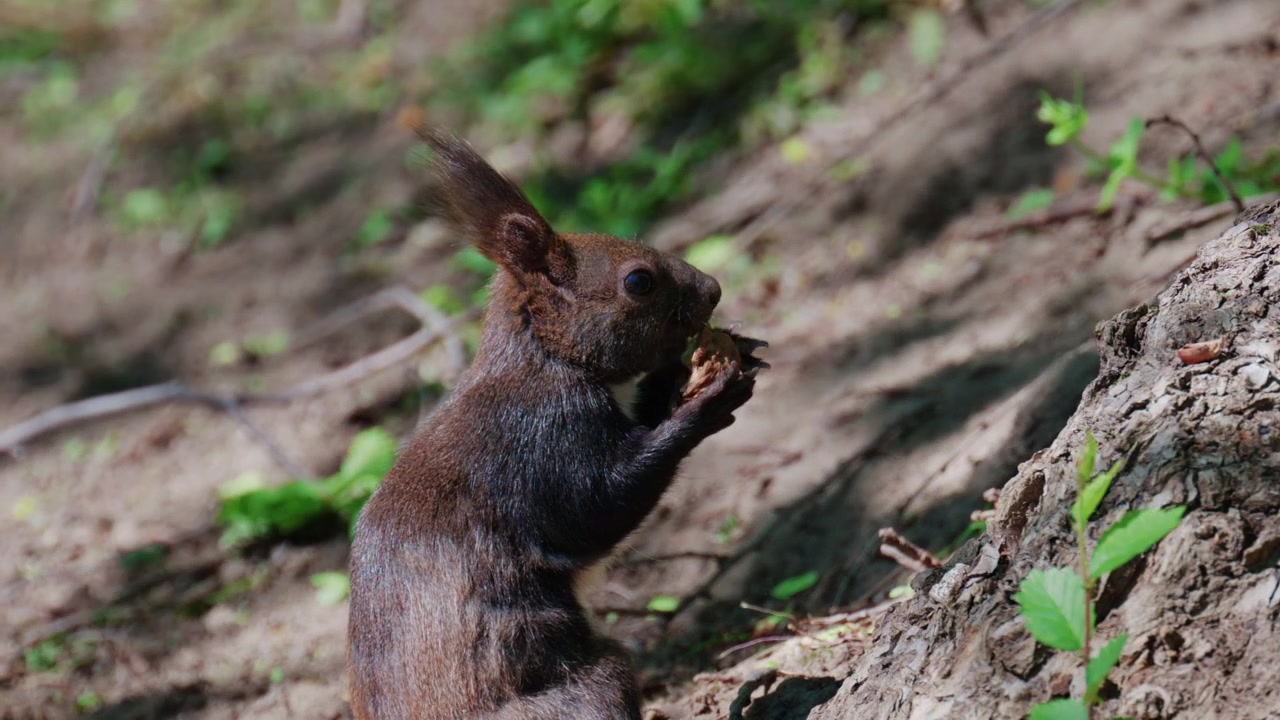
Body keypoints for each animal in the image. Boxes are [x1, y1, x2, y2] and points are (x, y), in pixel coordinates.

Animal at [346, 128, 767, 720]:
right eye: (639, 281)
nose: (713, 288)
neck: (545, 359)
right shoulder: (543, 437)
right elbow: (597, 508)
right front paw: (706, 402)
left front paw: (706, 363)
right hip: (584, 692)